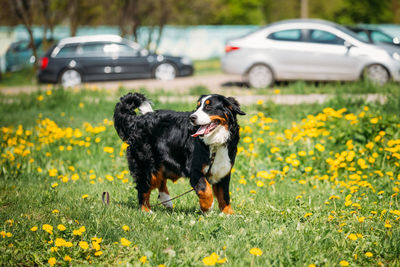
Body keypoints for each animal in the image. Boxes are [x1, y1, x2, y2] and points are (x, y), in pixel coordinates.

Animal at [112, 93, 244, 215]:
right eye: (197, 107)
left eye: (208, 107)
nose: (192, 117)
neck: (215, 144)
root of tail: (137, 121)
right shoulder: (195, 170)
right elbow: (205, 189)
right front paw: (207, 206)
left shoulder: (223, 171)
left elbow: (224, 195)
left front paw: (229, 214)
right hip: (145, 164)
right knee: (144, 188)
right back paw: (146, 211)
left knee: (160, 180)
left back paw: (166, 200)